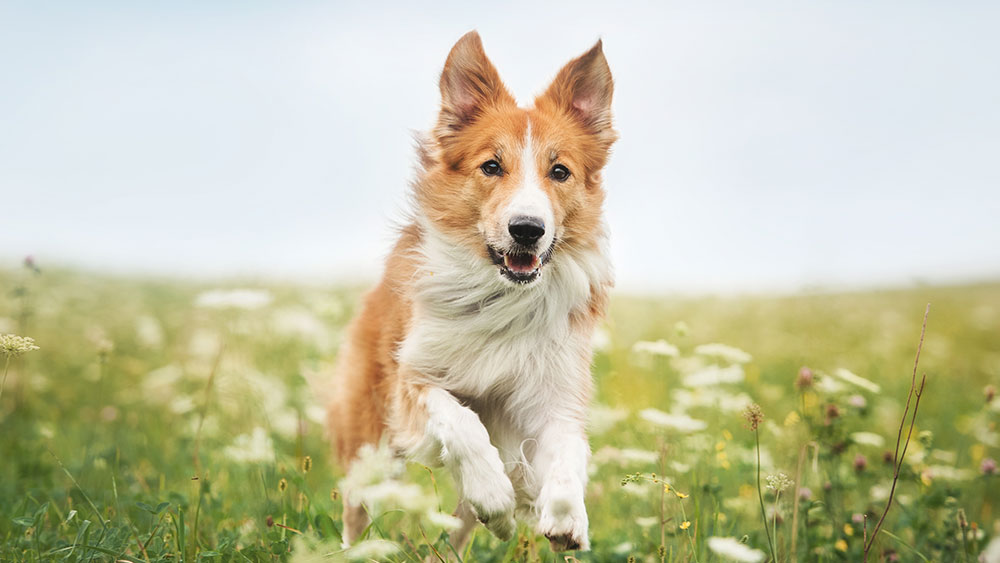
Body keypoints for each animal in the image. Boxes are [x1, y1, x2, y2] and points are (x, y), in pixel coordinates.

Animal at [328, 29, 612, 552]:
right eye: (492, 166)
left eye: (559, 171)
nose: (527, 229)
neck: (503, 297)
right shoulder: (413, 380)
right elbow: (462, 422)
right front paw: (495, 494)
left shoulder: (553, 395)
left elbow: (568, 451)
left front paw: (566, 518)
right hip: (369, 438)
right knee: (357, 508)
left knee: (457, 532)